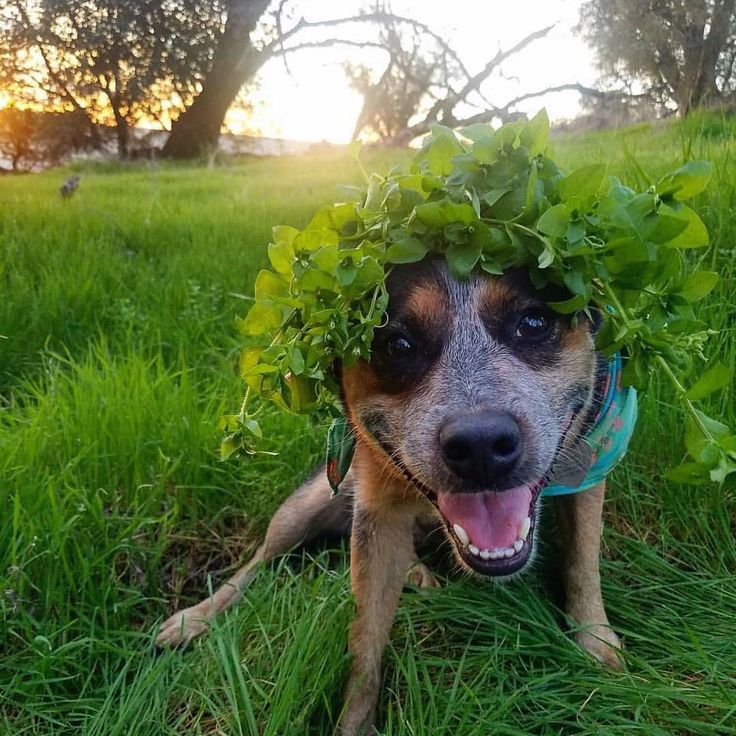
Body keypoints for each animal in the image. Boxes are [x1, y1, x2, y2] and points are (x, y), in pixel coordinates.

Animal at [158, 258, 628, 732]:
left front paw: (596, 643)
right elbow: (364, 645)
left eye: (533, 323)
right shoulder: (375, 509)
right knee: (259, 559)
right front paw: (354, 722)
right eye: (397, 345)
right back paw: (195, 617)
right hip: (307, 504)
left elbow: (582, 562)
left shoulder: (588, 467)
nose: (480, 444)